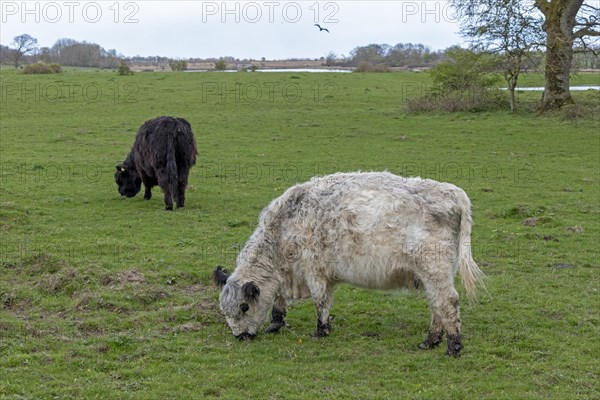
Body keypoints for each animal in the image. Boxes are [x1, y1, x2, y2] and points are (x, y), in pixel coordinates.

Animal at [213, 171, 486, 356]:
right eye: (226, 311)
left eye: (244, 307)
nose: (240, 337)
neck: (285, 226)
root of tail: (452, 193)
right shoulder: (289, 274)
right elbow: (279, 299)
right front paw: (276, 323)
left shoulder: (314, 272)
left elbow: (320, 302)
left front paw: (321, 330)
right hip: (434, 273)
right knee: (436, 304)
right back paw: (430, 341)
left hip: (434, 268)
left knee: (448, 302)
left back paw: (453, 346)